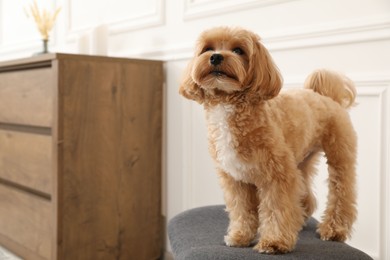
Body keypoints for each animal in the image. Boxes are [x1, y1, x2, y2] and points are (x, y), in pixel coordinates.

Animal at [179, 26, 356, 254]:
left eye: (238, 50)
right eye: (207, 48)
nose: (216, 57)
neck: (230, 105)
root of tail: (325, 96)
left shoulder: (277, 175)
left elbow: (276, 208)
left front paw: (275, 242)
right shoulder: (235, 179)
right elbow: (242, 210)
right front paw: (240, 236)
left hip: (339, 154)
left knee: (341, 191)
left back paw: (334, 230)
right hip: (301, 160)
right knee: (304, 193)